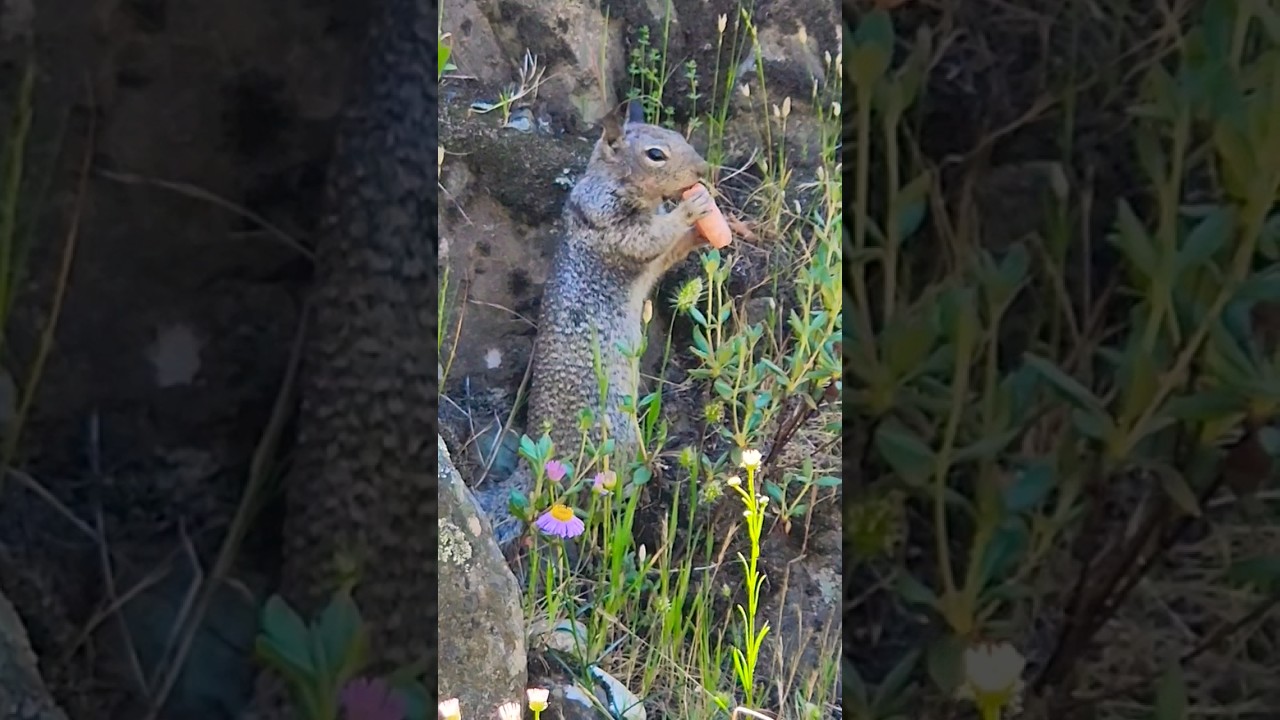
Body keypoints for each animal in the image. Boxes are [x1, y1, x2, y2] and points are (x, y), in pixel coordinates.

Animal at [473, 102, 714, 549]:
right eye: (656, 154)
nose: (703, 170)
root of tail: (535, 465)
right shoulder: (614, 227)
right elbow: (652, 237)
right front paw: (692, 209)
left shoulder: (653, 256)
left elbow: (671, 250)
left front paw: (705, 229)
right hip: (613, 435)